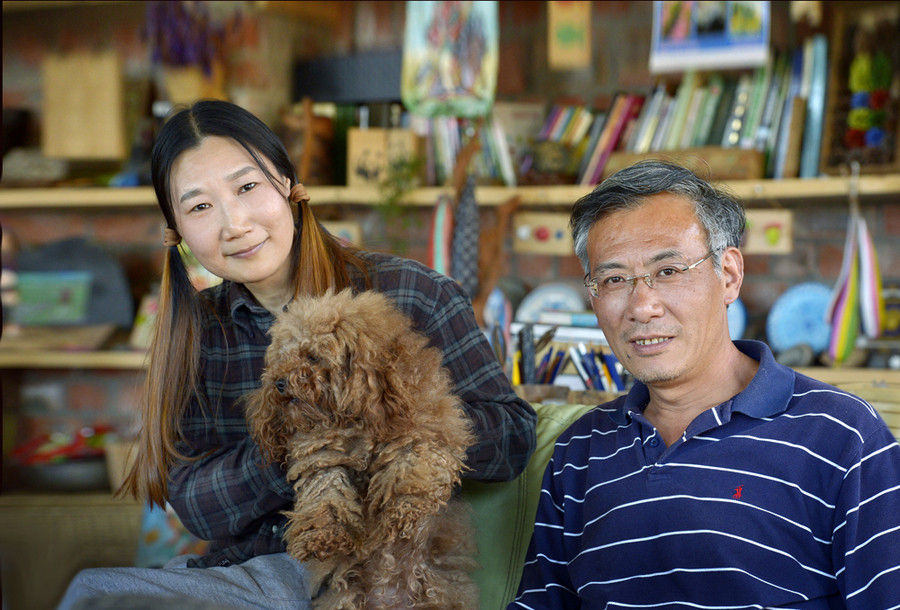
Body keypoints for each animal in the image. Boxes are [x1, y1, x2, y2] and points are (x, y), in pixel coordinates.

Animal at [243, 288, 482, 604]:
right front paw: (322, 537)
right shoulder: (322, 456)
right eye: (282, 357)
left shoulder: (423, 428)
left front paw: (404, 509)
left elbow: (410, 466)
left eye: (312, 356)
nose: (278, 383)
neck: (354, 416)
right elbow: (326, 496)